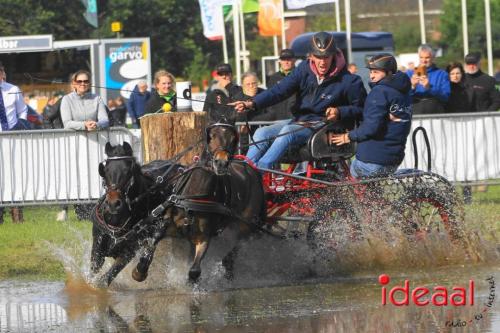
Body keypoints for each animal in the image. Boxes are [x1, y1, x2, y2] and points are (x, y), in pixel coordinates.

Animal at [91, 141, 183, 286]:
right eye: (105, 170)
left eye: (128, 171)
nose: (113, 204)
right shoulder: (97, 246)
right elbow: (93, 271)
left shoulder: (129, 251)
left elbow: (105, 279)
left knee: (155, 238)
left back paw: (141, 271)